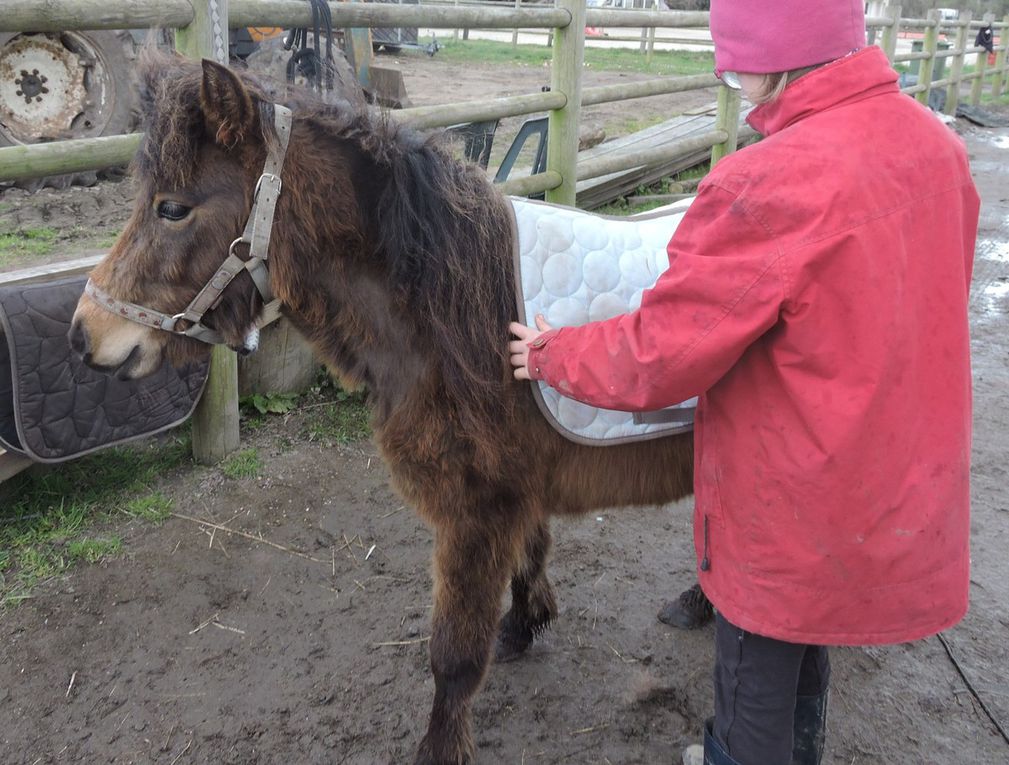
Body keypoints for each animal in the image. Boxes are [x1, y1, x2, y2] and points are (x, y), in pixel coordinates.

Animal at [71, 55, 694, 765]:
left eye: (173, 208)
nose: (84, 334)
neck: (456, 309)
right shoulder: (516, 493)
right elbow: (530, 557)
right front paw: (524, 625)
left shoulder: (478, 508)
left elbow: (453, 655)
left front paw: (442, 744)